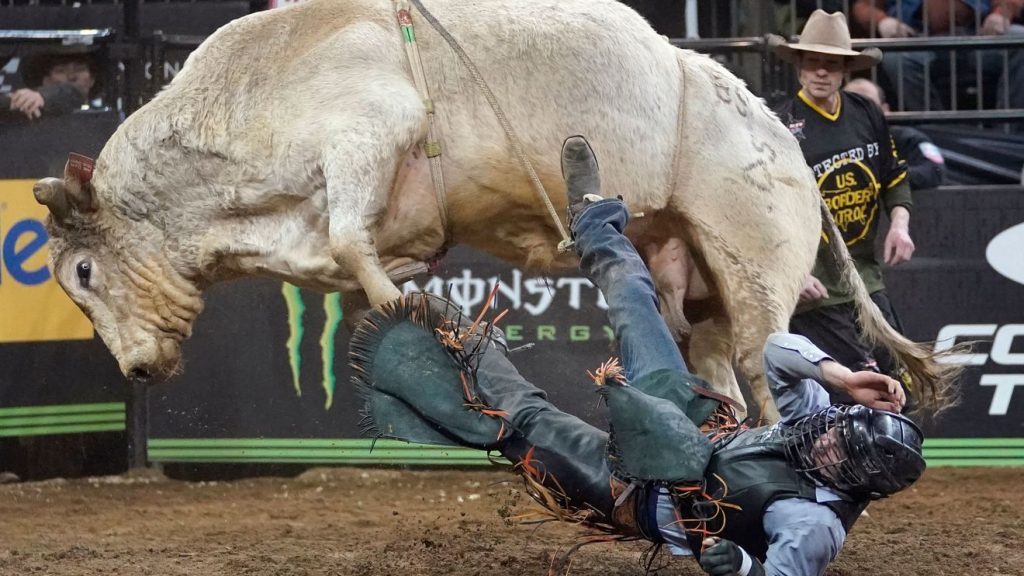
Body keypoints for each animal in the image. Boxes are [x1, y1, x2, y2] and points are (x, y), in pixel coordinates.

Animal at [33, 0, 956, 421]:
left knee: (770, 373)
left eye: (83, 269)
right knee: (719, 369)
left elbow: (348, 234)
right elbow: (351, 251)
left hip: (755, 262)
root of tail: (782, 137)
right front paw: (412, 294)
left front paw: (405, 301)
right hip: (692, 286)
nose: (136, 370)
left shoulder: (372, 128)